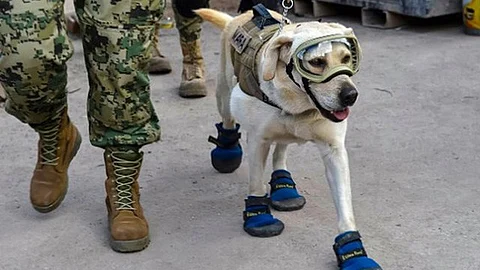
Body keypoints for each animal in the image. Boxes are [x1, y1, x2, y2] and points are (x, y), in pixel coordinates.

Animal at [197, 5, 380, 268]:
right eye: (316, 62)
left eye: (347, 58)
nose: (350, 95)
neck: (298, 103)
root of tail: (242, 15)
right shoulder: (258, 141)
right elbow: (256, 183)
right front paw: (259, 216)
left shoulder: (334, 151)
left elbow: (345, 207)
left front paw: (353, 252)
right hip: (223, 95)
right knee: (228, 120)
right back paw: (226, 151)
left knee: (281, 150)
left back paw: (284, 186)